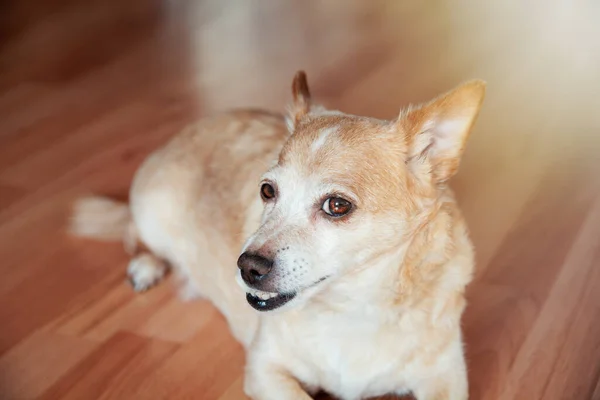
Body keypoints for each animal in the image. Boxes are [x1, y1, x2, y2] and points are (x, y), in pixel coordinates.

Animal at [69, 72, 488, 400]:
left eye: (337, 206)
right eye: (268, 191)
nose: (246, 267)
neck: (351, 307)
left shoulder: (447, 378)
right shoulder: (265, 371)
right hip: (154, 211)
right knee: (132, 232)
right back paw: (146, 266)